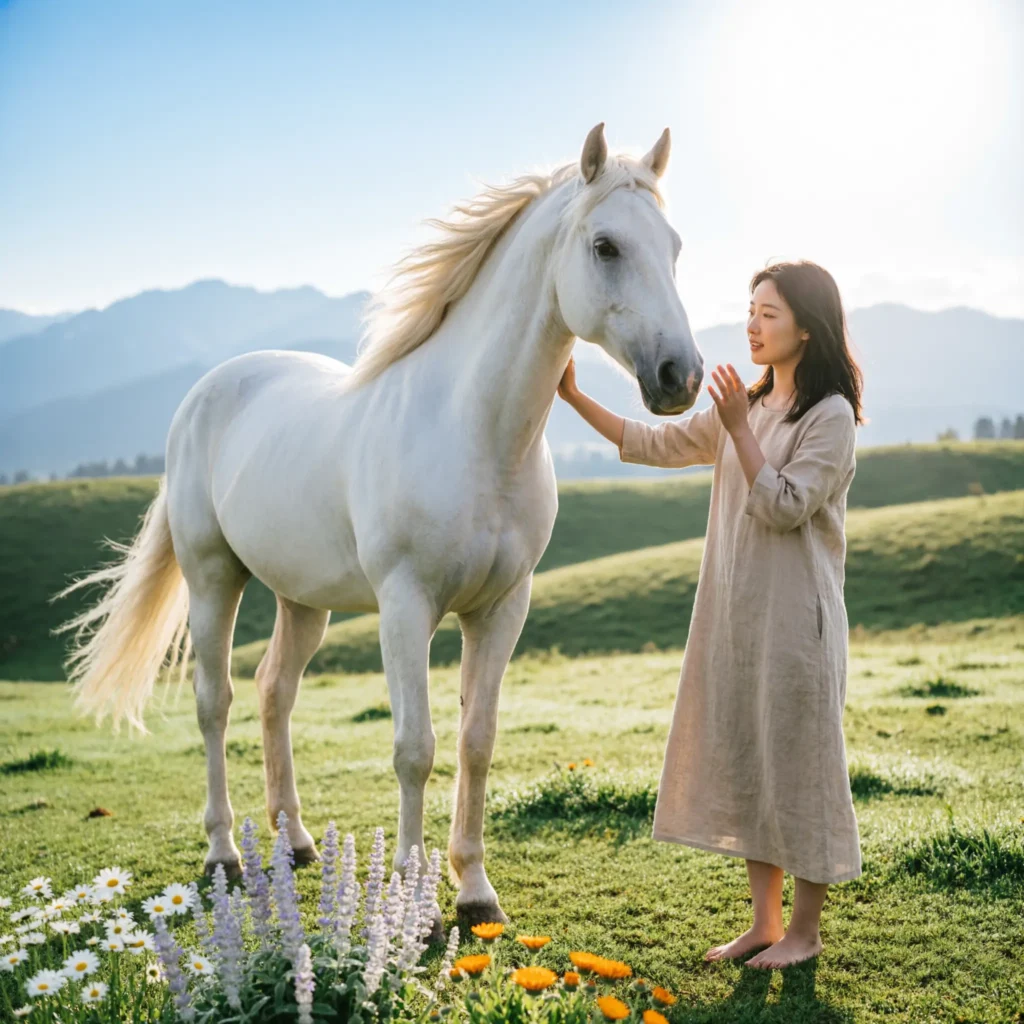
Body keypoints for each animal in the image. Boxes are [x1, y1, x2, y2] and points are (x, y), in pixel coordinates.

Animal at [57, 123, 704, 930]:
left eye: (674, 246)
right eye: (607, 246)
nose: (682, 376)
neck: (474, 432)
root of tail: (208, 391)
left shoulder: (502, 608)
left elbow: (477, 742)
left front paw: (475, 890)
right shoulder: (406, 607)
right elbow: (414, 748)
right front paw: (412, 889)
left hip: (304, 601)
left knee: (275, 692)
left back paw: (297, 842)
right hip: (213, 580)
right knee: (216, 703)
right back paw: (224, 854)